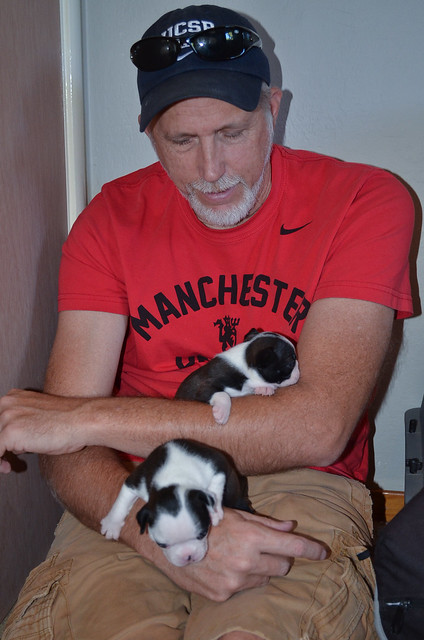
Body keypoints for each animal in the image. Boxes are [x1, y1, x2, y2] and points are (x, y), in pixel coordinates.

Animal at [99, 438, 252, 568]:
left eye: (203, 534)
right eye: (161, 544)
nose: (188, 556)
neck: (174, 479)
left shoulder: (217, 467)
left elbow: (215, 487)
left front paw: (214, 512)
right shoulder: (136, 481)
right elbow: (122, 501)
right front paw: (111, 524)